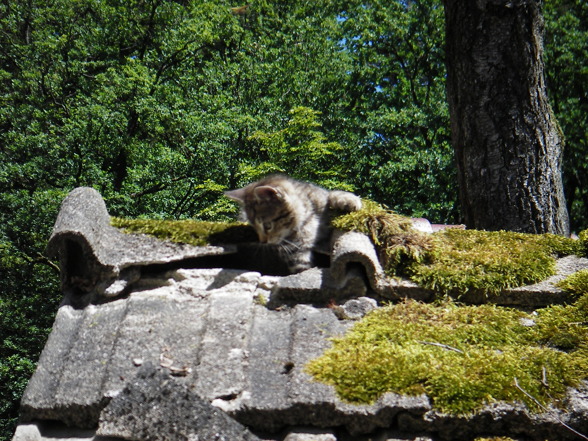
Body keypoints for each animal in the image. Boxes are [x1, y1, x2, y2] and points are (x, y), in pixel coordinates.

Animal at [226, 174, 360, 272]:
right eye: (254, 228)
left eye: (267, 226)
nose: (263, 242)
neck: (307, 219)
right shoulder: (297, 252)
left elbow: (331, 194)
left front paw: (348, 199)